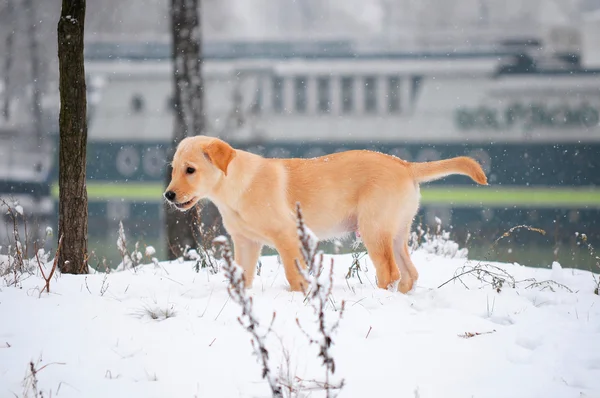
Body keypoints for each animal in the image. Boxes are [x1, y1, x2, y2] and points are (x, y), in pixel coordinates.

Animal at [165, 135, 488, 294]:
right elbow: (242, 276)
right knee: (409, 272)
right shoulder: (245, 242)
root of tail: (405, 164)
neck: (233, 188)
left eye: (190, 170)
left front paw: (302, 294)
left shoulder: (287, 236)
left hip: (374, 229)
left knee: (390, 271)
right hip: (396, 231)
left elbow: (293, 273)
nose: (168, 195)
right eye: (174, 169)